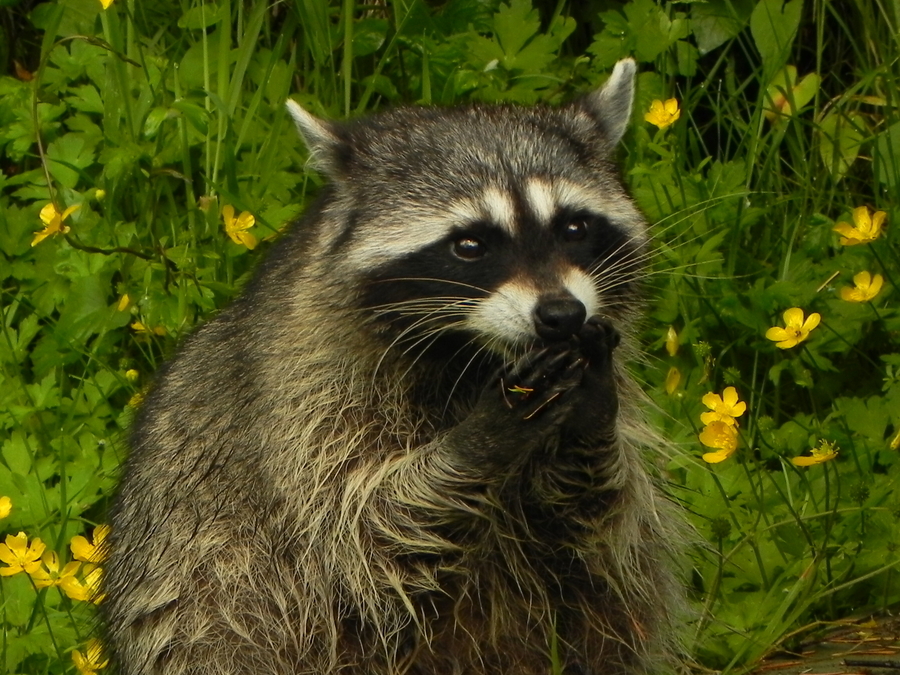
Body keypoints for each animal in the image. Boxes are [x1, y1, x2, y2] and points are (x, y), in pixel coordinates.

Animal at [102, 59, 684, 675]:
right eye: (470, 245)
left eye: (573, 227)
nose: (561, 315)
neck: (473, 354)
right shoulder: (303, 404)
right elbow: (360, 534)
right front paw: (478, 441)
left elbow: (602, 523)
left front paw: (590, 414)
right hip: (207, 612)